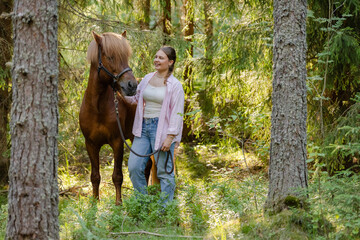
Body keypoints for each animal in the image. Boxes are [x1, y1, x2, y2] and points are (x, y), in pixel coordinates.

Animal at [79, 31, 137, 205]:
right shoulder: (91, 144)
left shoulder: (117, 142)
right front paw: (94, 203)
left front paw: (118, 204)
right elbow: (95, 176)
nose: (132, 85)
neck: (97, 108)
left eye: (126, 56)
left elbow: (117, 176)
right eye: (110, 57)